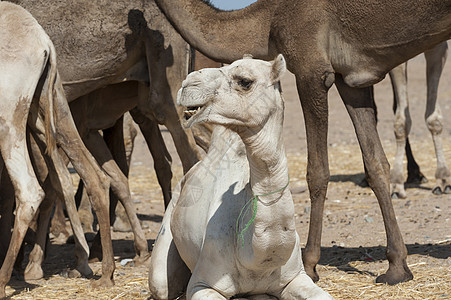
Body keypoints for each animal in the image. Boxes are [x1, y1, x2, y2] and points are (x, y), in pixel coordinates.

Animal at [0, 2, 112, 298]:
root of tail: (43, 43)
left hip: (8, 113)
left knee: (30, 189)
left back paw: (3, 281)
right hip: (53, 103)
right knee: (92, 177)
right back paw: (104, 274)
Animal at [148, 54, 332, 300]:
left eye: (245, 81)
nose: (187, 85)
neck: (256, 261)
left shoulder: (295, 277)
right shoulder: (202, 284)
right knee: (160, 284)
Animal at [155, 0, 451, 284]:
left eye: (244, 81)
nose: (186, 87)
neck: (270, 17)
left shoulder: (312, 70)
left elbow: (317, 172)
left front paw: (309, 264)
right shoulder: (351, 80)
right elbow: (375, 164)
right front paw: (397, 266)